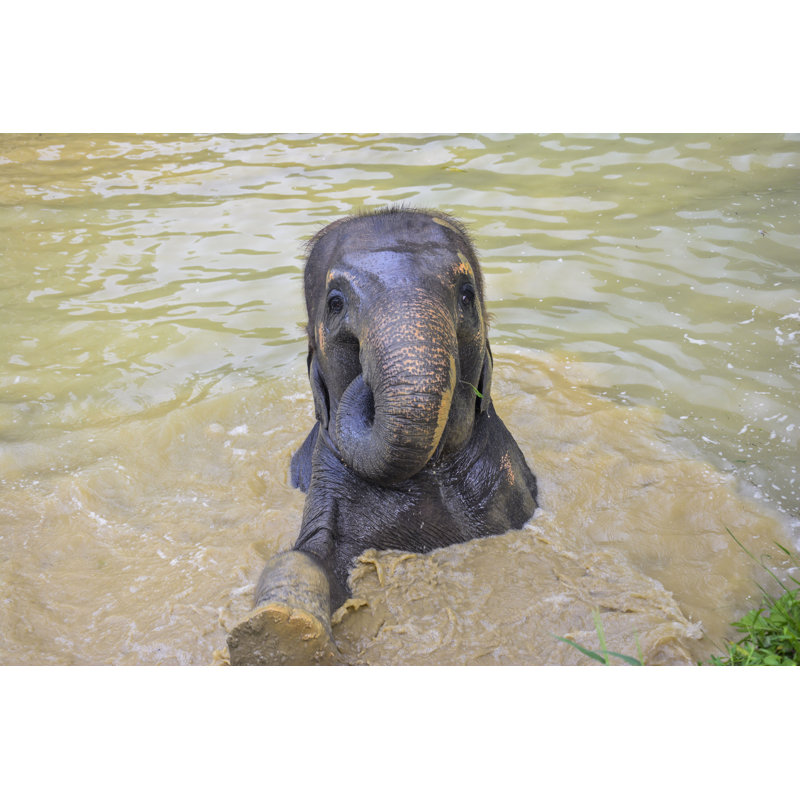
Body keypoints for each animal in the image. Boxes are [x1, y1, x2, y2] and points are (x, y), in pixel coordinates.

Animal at [227, 207, 538, 665]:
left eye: (467, 295)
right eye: (335, 302)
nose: (365, 380)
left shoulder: (506, 486)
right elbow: (312, 552)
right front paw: (276, 633)